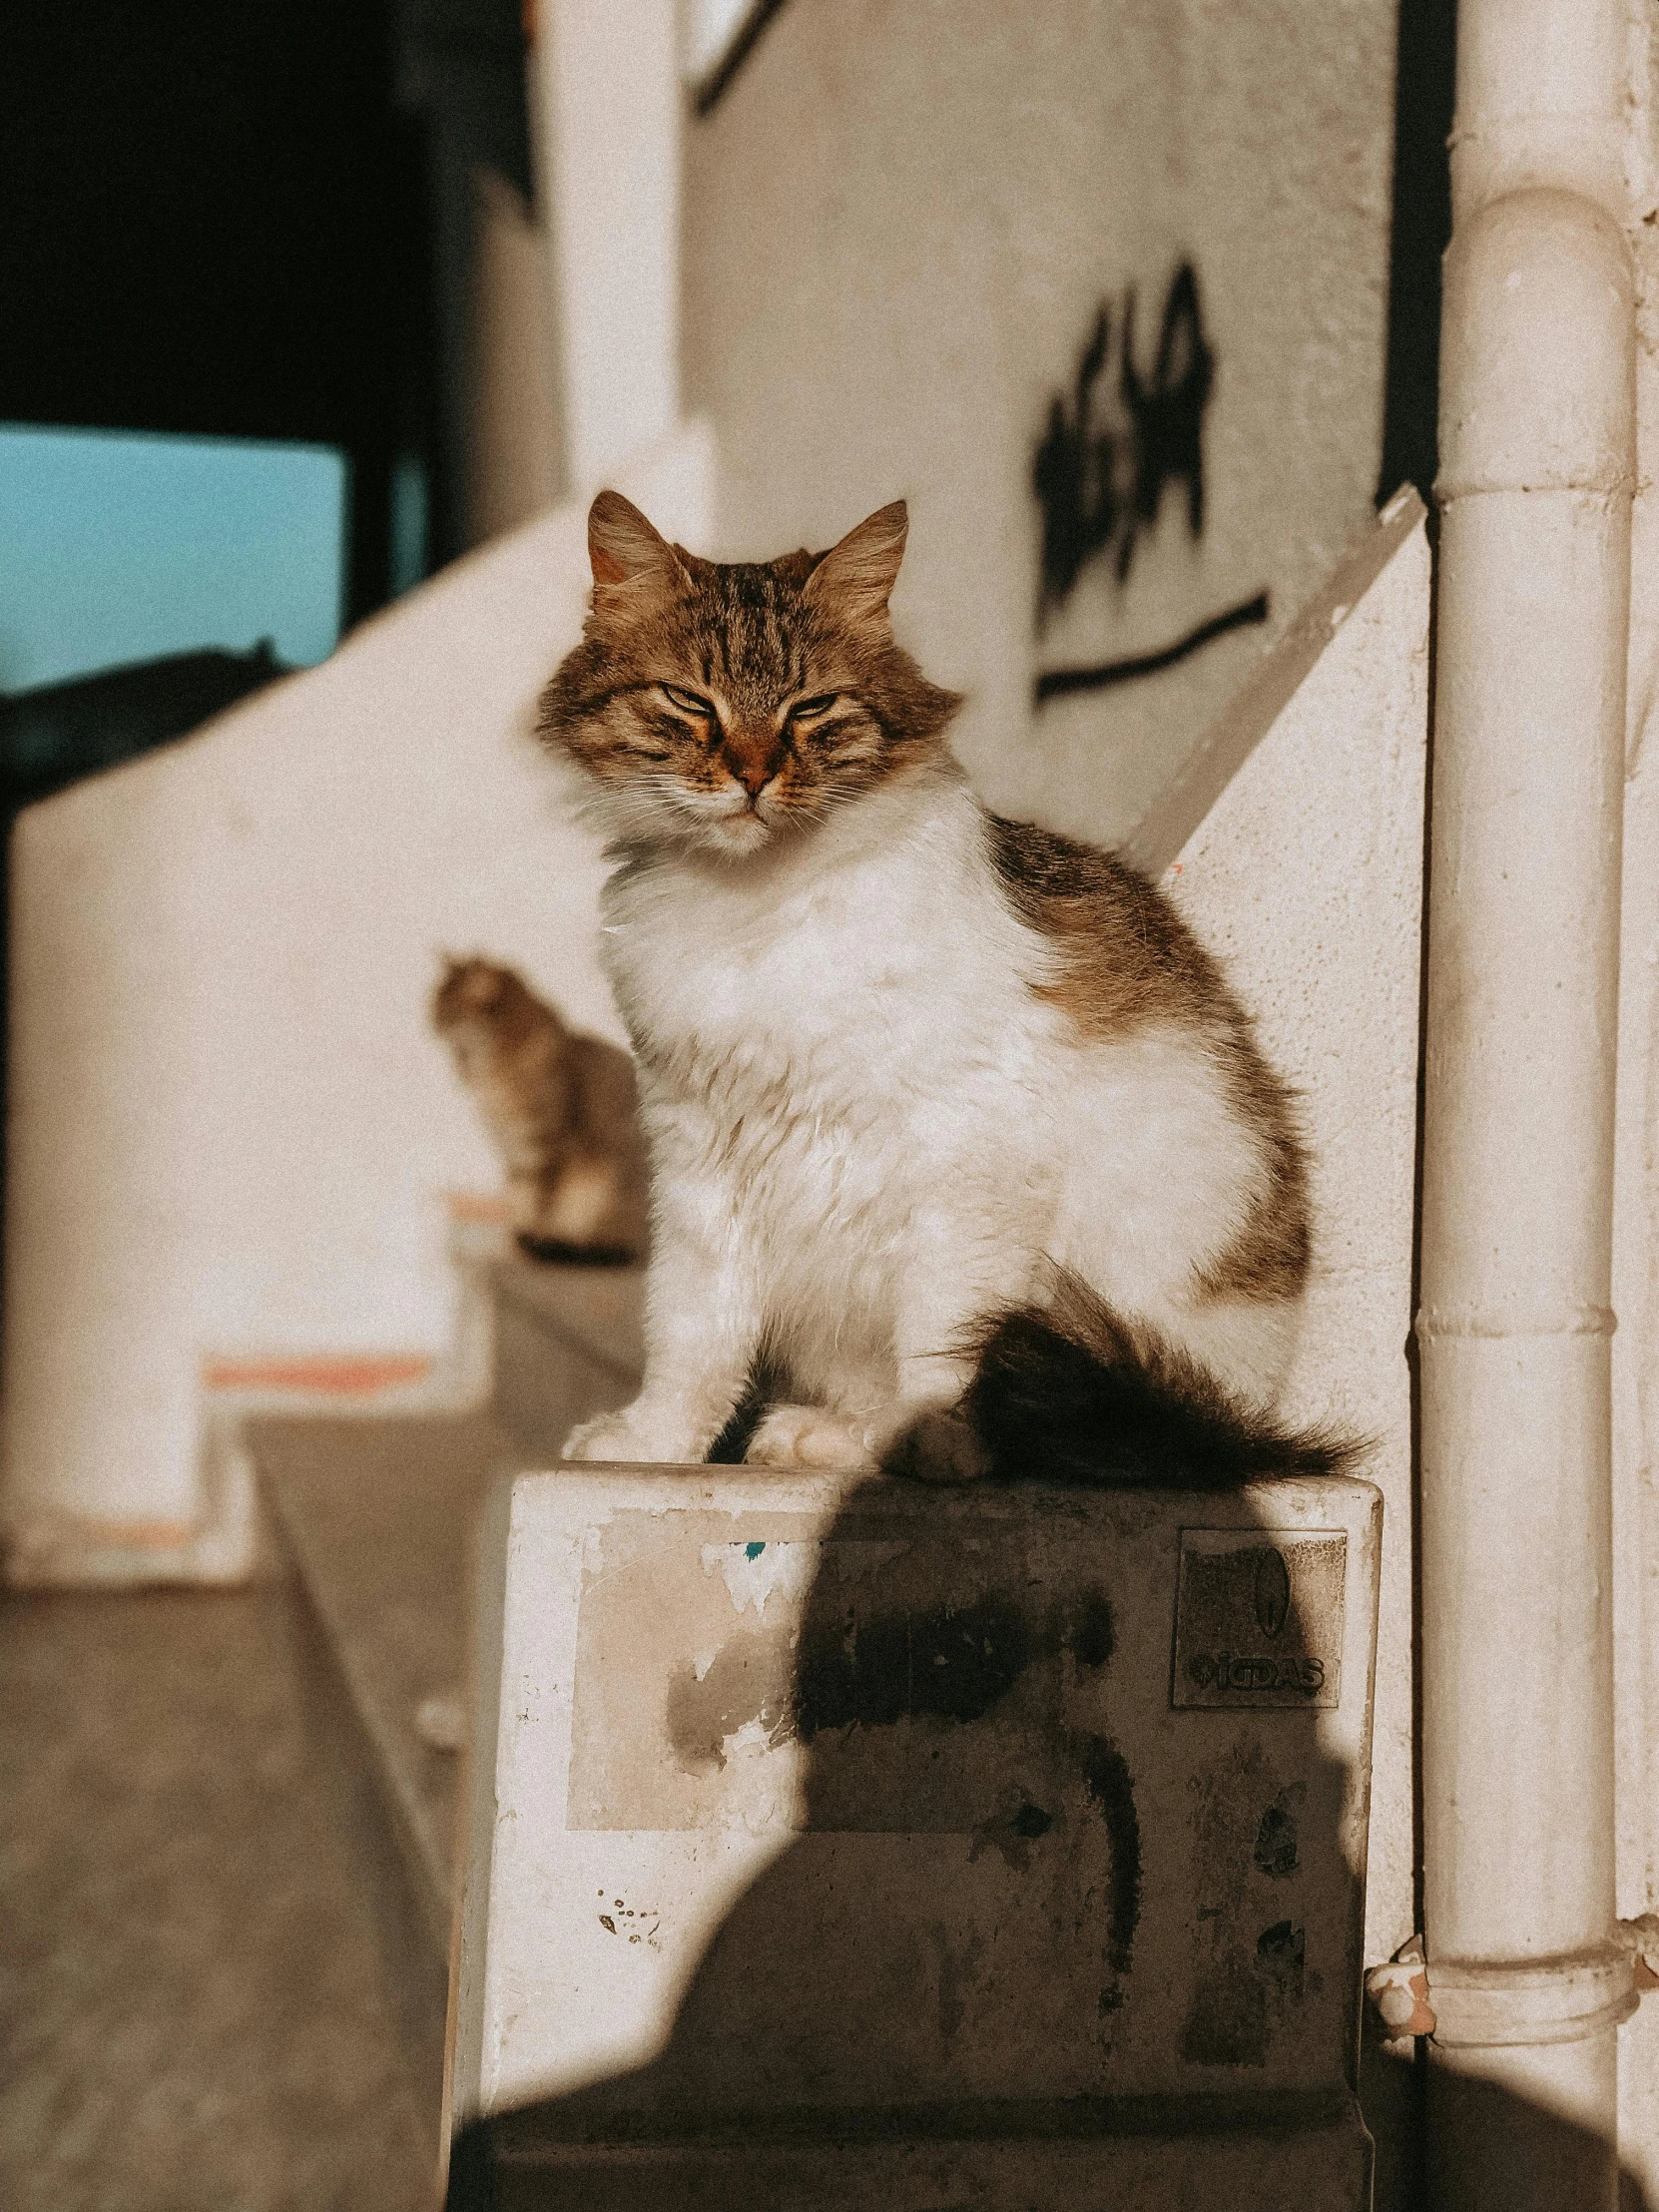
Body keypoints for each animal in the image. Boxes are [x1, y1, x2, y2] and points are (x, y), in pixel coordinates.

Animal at [539, 488, 1354, 1486]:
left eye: (812, 708)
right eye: (691, 701)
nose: (755, 774)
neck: (750, 903)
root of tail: (1229, 1425)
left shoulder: (967, 1158)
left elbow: (944, 1340)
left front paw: (935, 1441)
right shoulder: (699, 1157)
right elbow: (691, 1336)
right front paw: (653, 1446)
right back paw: (826, 1437)